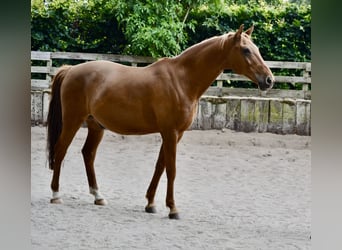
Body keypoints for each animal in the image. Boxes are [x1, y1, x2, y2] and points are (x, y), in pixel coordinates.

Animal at [46, 24, 276, 219]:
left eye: (256, 49)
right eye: (246, 50)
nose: (269, 80)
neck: (181, 80)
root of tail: (70, 70)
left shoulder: (175, 133)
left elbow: (160, 166)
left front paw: (150, 204)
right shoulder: (170, 132)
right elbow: (171, 169)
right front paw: (173, 208)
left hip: (96, 126)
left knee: (88, 154)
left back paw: (98, 196)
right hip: (73, 121)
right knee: (60, 150)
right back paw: (56, 195)